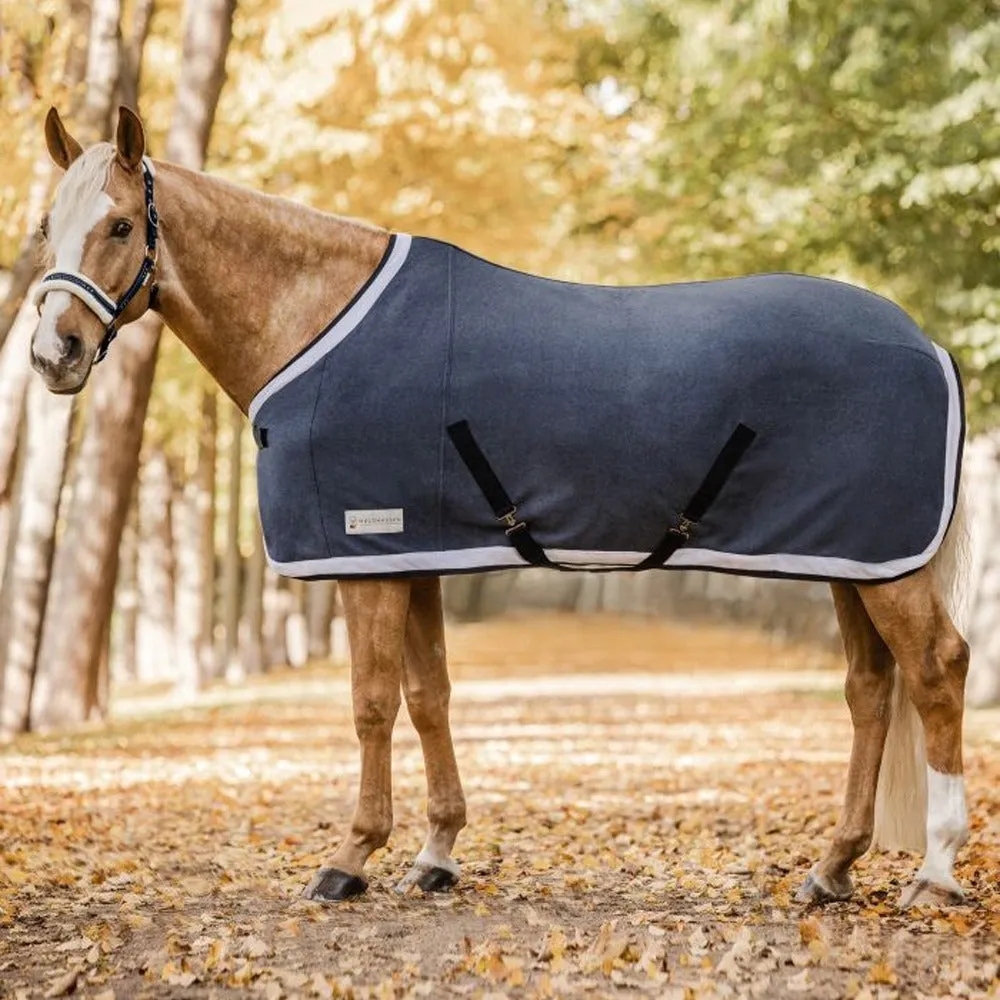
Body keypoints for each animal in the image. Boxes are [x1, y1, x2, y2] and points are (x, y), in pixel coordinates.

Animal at [29, 106, 972, 909]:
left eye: (120, 225)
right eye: (45, 227)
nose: (52, 354)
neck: (316, 322)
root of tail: (926, 342)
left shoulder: (363, 555)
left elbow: (371, 703)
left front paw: (350, 858)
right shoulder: (414, 554)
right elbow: (429, 695)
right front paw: (436, 853)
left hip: (887, 565)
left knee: (935, 671)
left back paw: (934, 872)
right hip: (853, 557)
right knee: (870, 688)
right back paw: (833, 868)